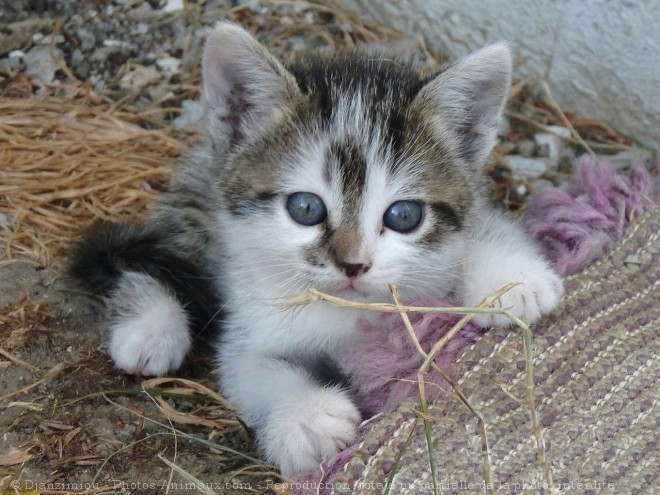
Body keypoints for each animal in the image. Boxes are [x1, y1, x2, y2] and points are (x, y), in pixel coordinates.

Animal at [73, 22, 568, 476]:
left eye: (403, 216)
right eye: (306, 208)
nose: (353, 264)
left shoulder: (471, 198)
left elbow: (482, 223)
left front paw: (511, 281)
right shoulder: (250, 318)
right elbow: (252, 367)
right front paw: (307, 418)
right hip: (200, 197)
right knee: (164, 249)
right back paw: (149, 326)